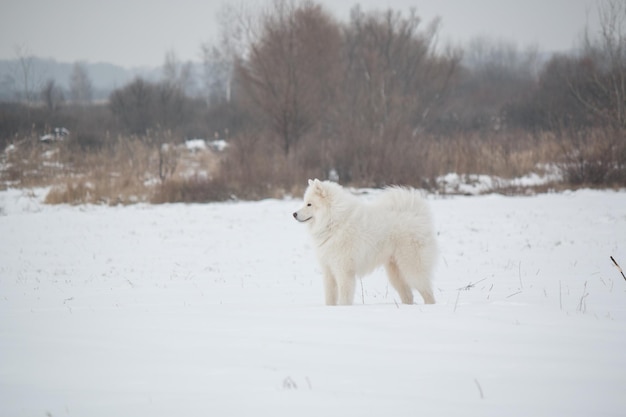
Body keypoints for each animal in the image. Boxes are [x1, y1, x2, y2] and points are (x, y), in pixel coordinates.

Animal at [292, 180, 434, 306]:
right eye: (305, 202)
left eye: (309, 204)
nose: (294, 214)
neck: (333, 221)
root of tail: (417, 215)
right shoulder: (328, 271)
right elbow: (330, 298)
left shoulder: (343, 271)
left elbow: (344, 297)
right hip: (395, 272)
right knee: (408, 295)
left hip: (412, 268)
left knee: (428, 293)